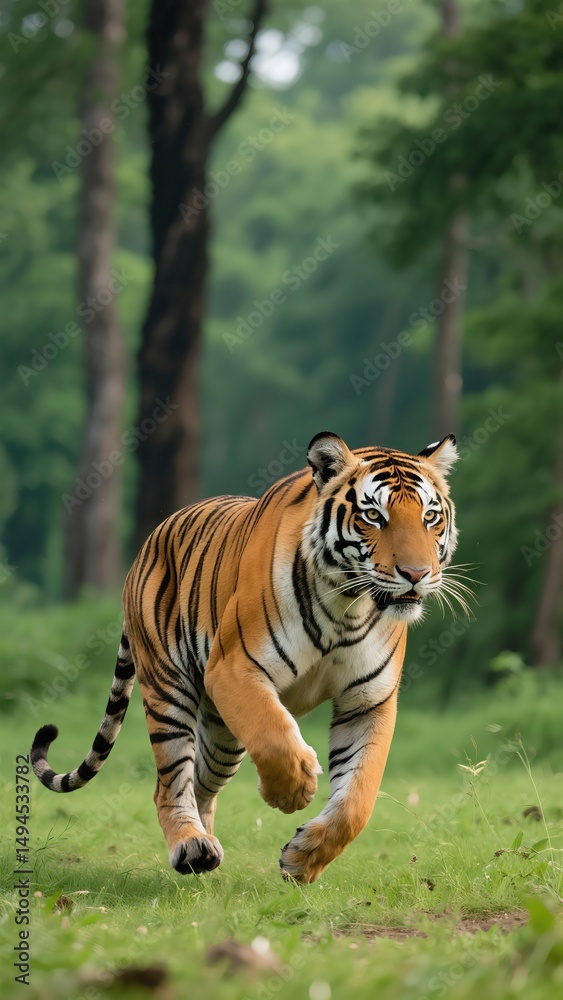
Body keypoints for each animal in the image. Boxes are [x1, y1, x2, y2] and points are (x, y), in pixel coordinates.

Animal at [32, 431, 459, 884]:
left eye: (430, 517)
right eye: (374, 516)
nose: (417, 574)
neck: (348, 606)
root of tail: (149, 543)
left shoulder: (368, 700)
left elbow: (357, 799)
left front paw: (302, 859)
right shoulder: (234, 669)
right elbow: (273, 735)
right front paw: (292, 791)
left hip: (221, 731)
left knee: (200, 783)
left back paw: (205, 852)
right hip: (168, 689)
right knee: (170, 781)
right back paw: (190, 844)